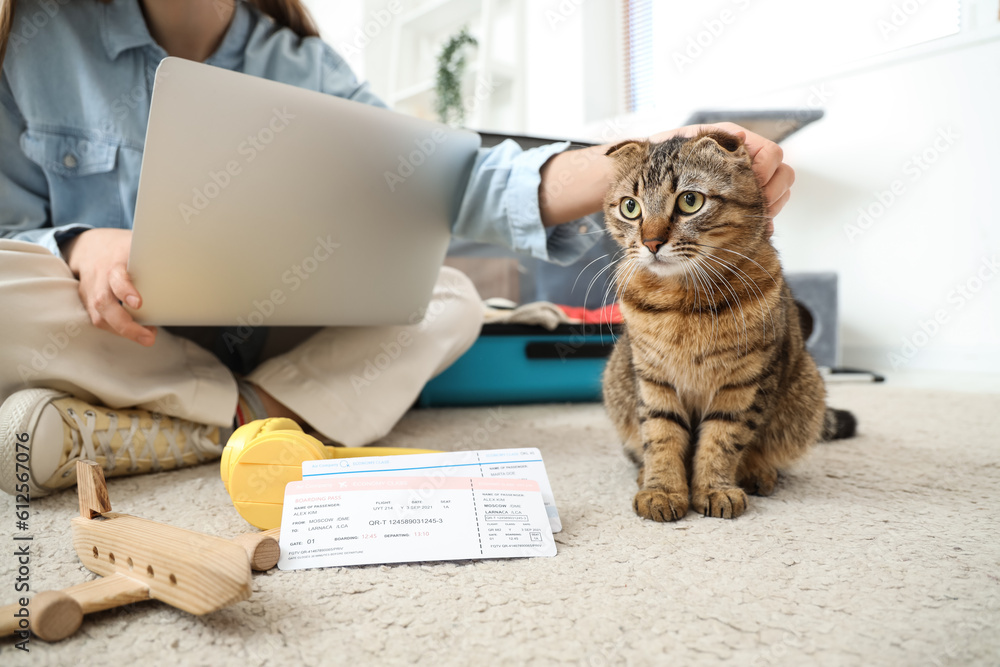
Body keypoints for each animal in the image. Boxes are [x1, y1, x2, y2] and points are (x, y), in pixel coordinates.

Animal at [596, 130, 856, 520]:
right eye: (630, 207)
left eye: (690, 201)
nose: (651, 242)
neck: (683, 303)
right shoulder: (652, 377)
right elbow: (661, 435)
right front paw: (662, 489)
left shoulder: (745, 381)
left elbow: (722, 439)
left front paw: (714, 488)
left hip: (805, 393)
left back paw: (758, 472)